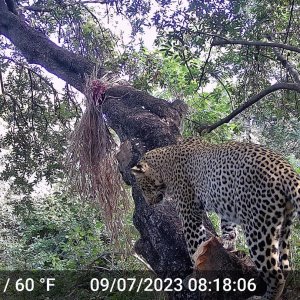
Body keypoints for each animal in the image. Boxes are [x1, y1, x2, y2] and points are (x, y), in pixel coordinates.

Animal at [131, 138, 300, 300]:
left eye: (144, 188)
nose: (149, 203)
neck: (164, 166)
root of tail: (286, 168)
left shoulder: (189, 212)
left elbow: (194, 245)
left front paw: (194, 277)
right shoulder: (227, 207)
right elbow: (229, 229)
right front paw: (228, 245)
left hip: (258, 227)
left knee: (275, 274)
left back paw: (263, 297)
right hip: (284, 225)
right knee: (285, 266)